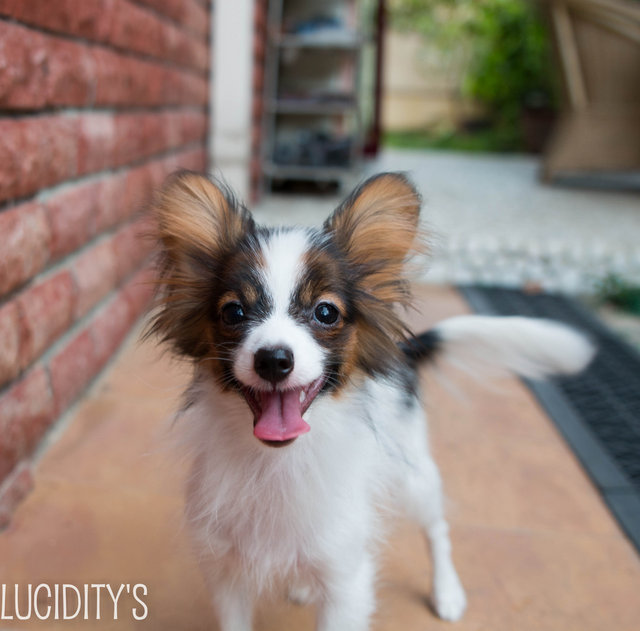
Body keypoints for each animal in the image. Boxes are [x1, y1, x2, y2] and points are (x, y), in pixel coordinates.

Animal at [149, 172, 596, 631]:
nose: (273, 359)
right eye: (234, 313)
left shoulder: (347, 582)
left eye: (326, 312)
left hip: (414, 474)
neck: (277, 462)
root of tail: (404, 351)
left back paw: (447, 591)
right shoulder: (226, 574)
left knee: (437, 528)